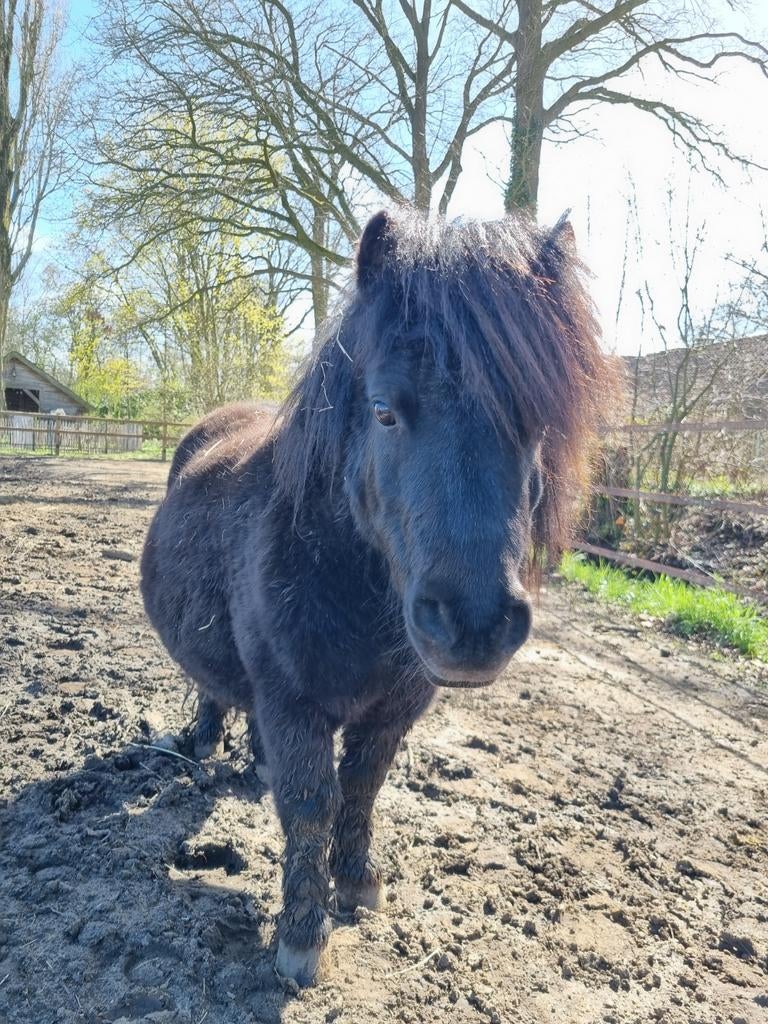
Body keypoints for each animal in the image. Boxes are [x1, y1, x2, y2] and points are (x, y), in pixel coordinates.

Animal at [140, 208, 617, 985]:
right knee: (212, 689)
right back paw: (204, 743)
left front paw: (358, 884)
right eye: (385, 411)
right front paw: (301, 940)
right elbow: (311, 805)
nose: (475, 624)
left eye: (537, 425)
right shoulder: (293, 702)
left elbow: (361, 788)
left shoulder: (394, 709)